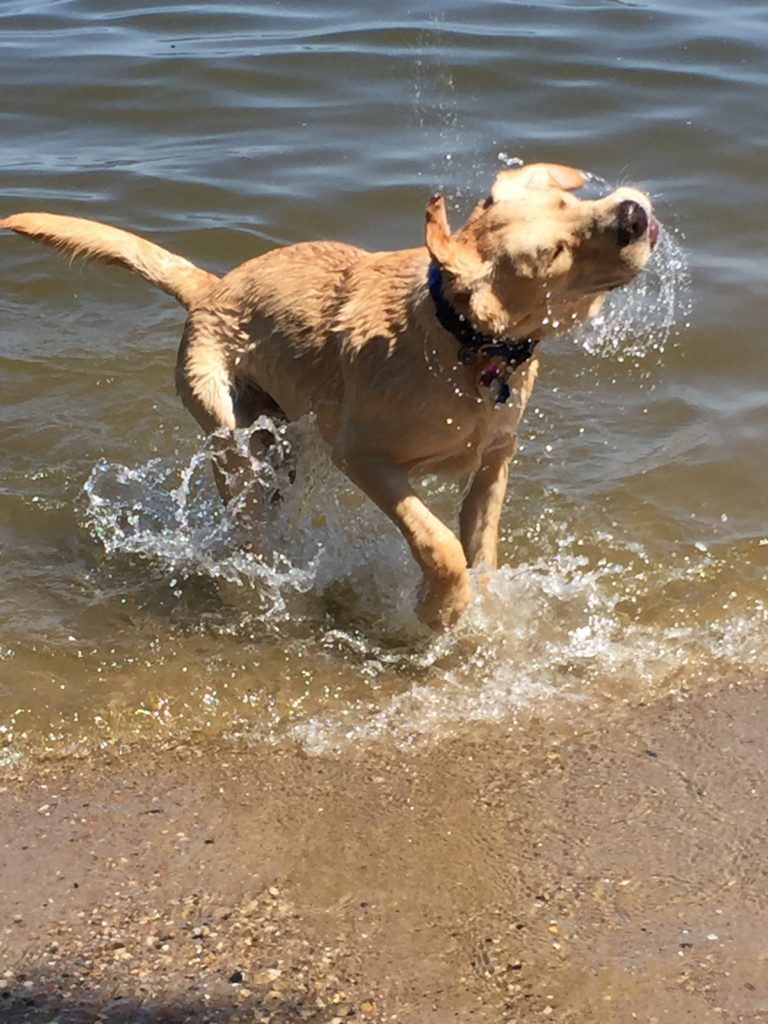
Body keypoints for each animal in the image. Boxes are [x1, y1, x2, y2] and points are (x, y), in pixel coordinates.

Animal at [1, 162, 658, 629]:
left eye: (568, 203)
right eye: (550, 254)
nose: (632, 213)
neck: (462, 339)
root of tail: (210, 288)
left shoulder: (496, 456)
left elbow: (481, 541)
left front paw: (491, 607)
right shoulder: (365, 459)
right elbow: (438, 542)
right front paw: (440, 610)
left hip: (285, 443)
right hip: (231, 431)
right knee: (245, 517)